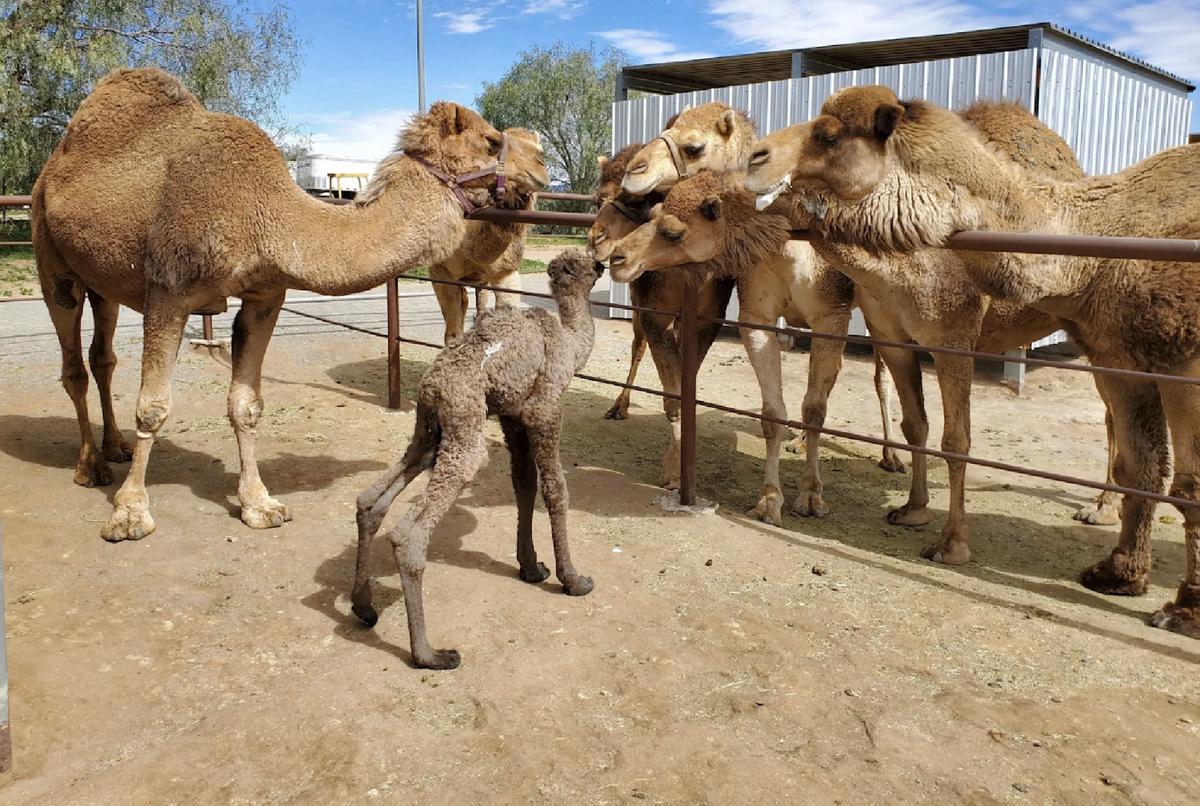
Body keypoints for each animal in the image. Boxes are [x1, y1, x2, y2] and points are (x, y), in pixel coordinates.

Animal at [351, 250, 602, 669]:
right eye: (586, 262)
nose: (603, 263)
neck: (569, 341)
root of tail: (433, 387)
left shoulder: (513, 415)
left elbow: (524, 485)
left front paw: (531, 567)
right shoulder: (545, 407)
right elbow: (555, 489)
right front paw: (573, 579)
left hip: (430, 434)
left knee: (371, 500)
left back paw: (363, 607)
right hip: (465, 431)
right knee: (409, 533)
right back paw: (431, 654)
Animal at [430, 128, 542, 343]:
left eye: (541, 151)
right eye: (497, 146)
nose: (537, 169)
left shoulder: (505, 271)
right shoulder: (440, 271)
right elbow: (452, 331)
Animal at [588, 143, 734, 489]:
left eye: (637, 199)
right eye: (598, 199)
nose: (595, 239)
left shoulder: (708, 317)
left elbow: (685, 383)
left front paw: (675, 469)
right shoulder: (653, 310)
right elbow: (673, 392)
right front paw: (673, 472)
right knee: (637, 346)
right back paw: (619, 407)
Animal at [616, 103, 902, 524]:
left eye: (694, 147)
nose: (633, 171)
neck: (791, 251)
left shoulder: (831, 317)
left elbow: (815, 408)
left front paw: (811, 495)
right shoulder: (755, 318)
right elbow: (771, 413)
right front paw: (769, 500)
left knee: (881, 380)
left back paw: (892, 456)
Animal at [743, 84, 1200, 636]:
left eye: (828, 135)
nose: (755, 157)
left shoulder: (954, 334)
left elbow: (956, 440)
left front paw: (952, 544)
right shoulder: (892, 335)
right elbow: (917, 424)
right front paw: (913, 509)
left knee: (1118, 429)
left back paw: (1104, 514)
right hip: (1099, 349)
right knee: (1123, 432)